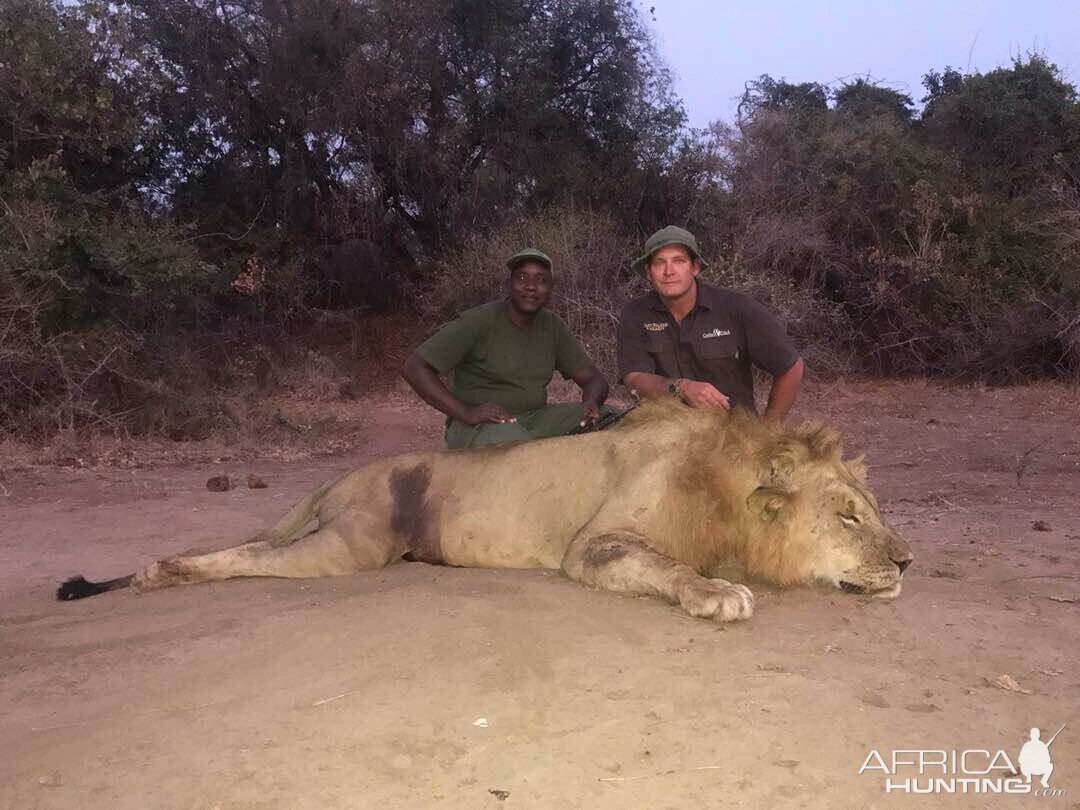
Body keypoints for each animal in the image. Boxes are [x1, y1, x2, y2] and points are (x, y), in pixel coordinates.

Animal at [52, 399, 911, 622]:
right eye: (846, 515)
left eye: (874, 509)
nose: (906, 561)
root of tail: (345, 475)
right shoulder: (593, 544)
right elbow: (665, 566)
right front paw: (718, 593)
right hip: (350, 544)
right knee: (250, 556)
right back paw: (156, 573)